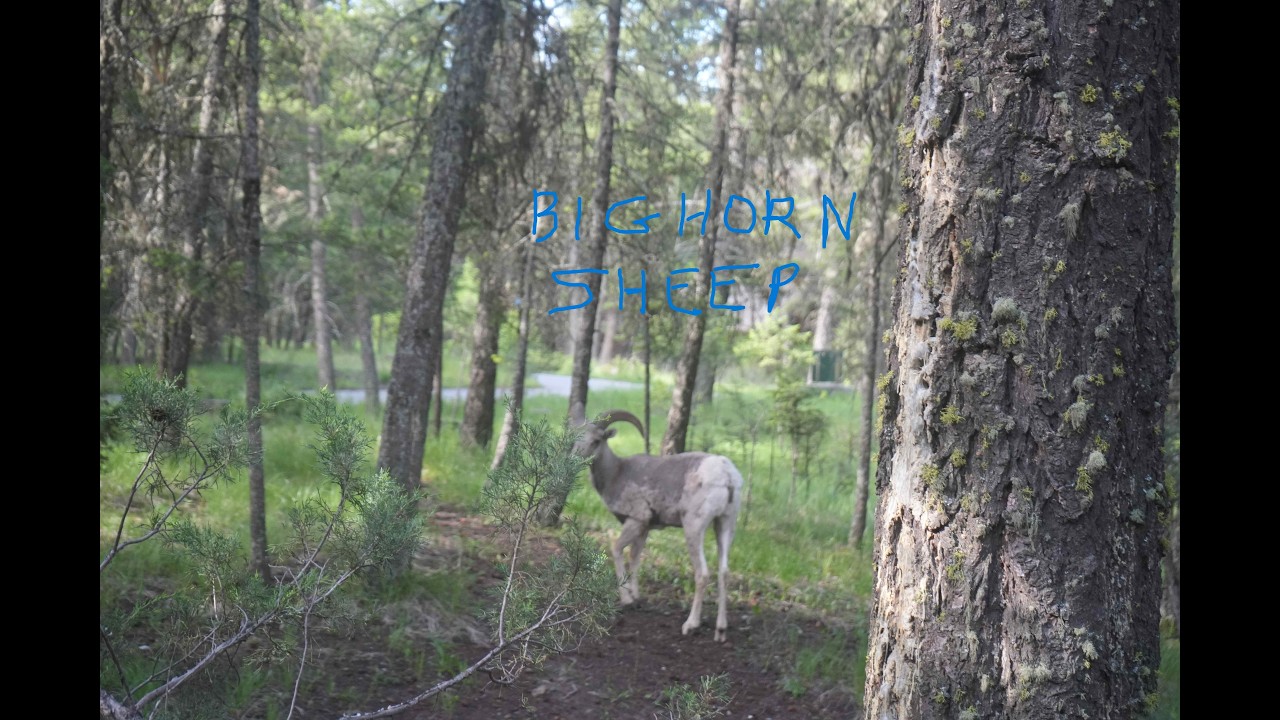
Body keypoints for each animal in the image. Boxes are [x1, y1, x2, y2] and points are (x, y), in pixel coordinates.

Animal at [569, 405, 743, 641]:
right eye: (575, 436)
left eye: (597, 440)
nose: (574, 459)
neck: (617, 473)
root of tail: (727, 475)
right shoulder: (644, 529)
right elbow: (635, 557)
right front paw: (636, 597)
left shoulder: (636, 520)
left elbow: (617, 549)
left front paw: (626, 599)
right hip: (725, 524)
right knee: (724, 573)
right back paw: (721, 630)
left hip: (694, 528)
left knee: (702, 574)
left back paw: (690, 625)